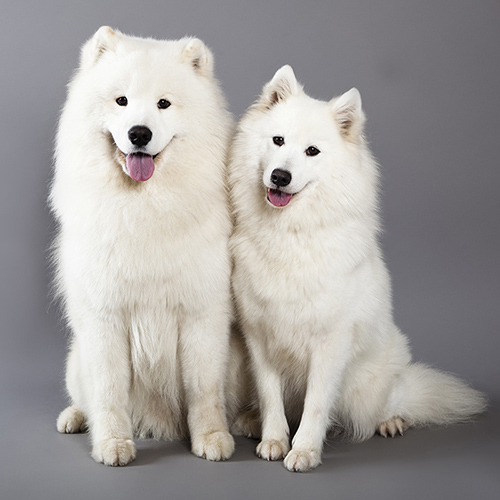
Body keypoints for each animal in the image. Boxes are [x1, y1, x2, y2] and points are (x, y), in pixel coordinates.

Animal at [50, 26, 236, 464]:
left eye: (163, 104)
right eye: (121, 100)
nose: (139, 133)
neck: (144, 207)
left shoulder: (201, 312)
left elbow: (204, 389)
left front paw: (212, 438)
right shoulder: (105, 317)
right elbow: (109, 391)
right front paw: (113, 444)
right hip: (75, 358)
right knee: (84, 396)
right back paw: (75, 418)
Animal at [230, 66, 488, 472]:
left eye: (312, 151)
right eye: (278, 140)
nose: (280, 177)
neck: (291, 233)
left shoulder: (329, 342)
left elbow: (316, 405)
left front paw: (304, 451)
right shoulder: (259, 338)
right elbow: (271, 398)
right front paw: (274, 440)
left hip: (368, 384)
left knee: (389, 403)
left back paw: (391, 421)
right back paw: (252, 421)